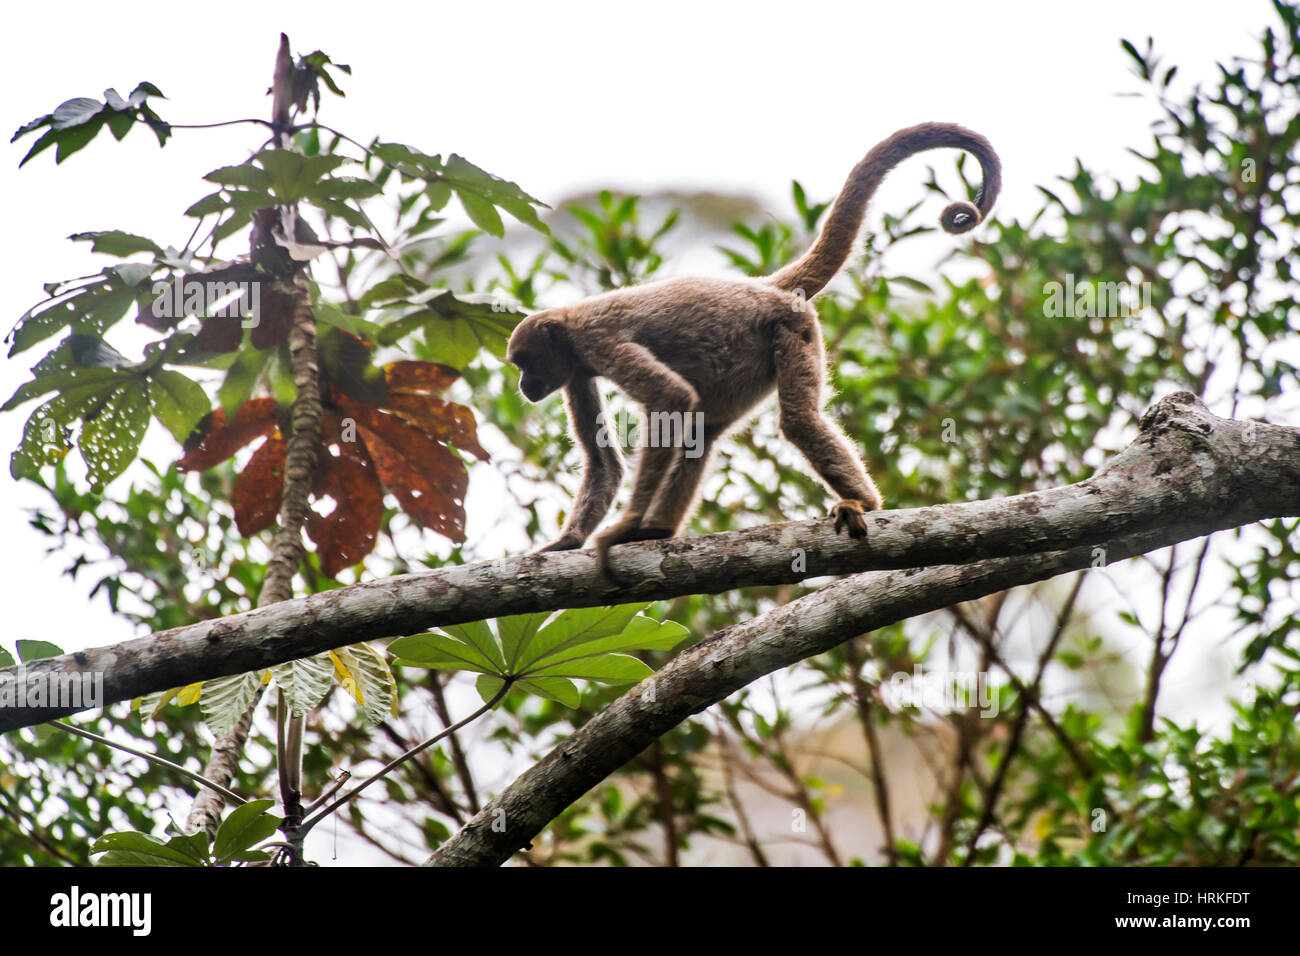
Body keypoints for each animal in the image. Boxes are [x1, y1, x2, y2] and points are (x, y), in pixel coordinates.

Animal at [509, 124, 1003, 580]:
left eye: (524, 362)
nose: (524, 386)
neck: (569, 325)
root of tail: (765, 286)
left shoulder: (597, 341)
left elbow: (670, 399)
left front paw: (624, 526)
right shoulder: (576, 371)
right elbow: (605, 462)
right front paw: (567, 542)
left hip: (792, 330)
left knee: (795, 420)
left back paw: (862, 500)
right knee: (701, 432)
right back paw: (660, 531)